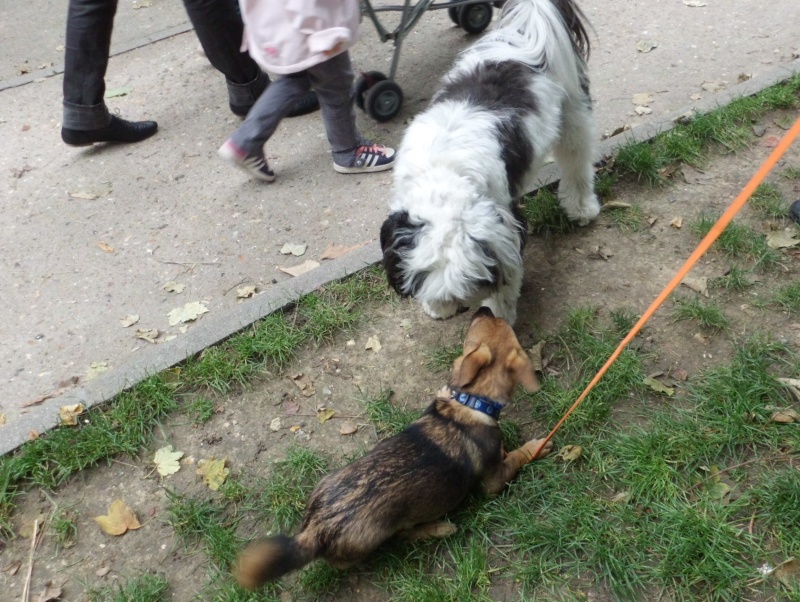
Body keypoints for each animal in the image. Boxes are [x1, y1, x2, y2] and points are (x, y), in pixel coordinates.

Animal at [234, 304, 552, 584]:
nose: (484, 308)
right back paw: (438, 528)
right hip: (382, 532)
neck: (471, 402)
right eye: (496, 324)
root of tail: (316, 530)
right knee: (401, 537)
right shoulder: (493, 482)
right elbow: (515, 458)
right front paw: (537, 446)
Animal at [382, 0, 600, 324]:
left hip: (573, 117)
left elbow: (508, 277)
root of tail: (526, 33)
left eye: (472, 282)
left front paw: (498, 316)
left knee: (577, 162)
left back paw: (582, 207)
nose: (457, 307)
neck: (441, 173)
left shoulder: (503, 226)